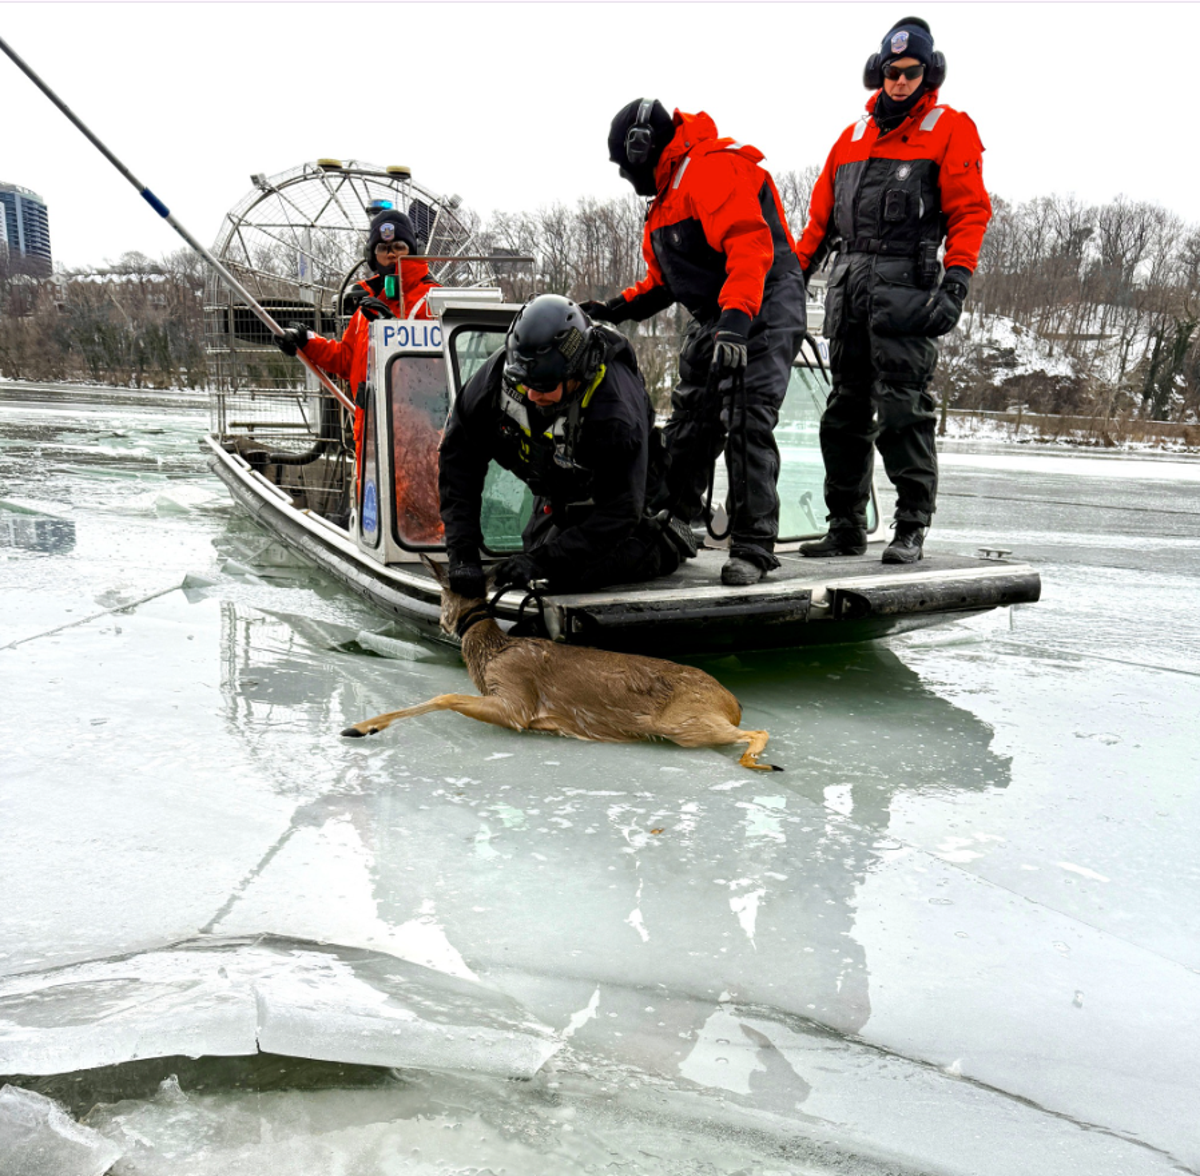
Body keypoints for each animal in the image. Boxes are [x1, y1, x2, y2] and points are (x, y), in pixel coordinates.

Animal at [343, 559, 782, 777]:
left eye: (440, 596)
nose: (441, 623)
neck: (492, 653)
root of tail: (732, 702)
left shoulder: (516, 702)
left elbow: (445, 694)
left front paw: (361, 727)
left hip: (685, 724)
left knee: (759, 730)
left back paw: (758, 763)